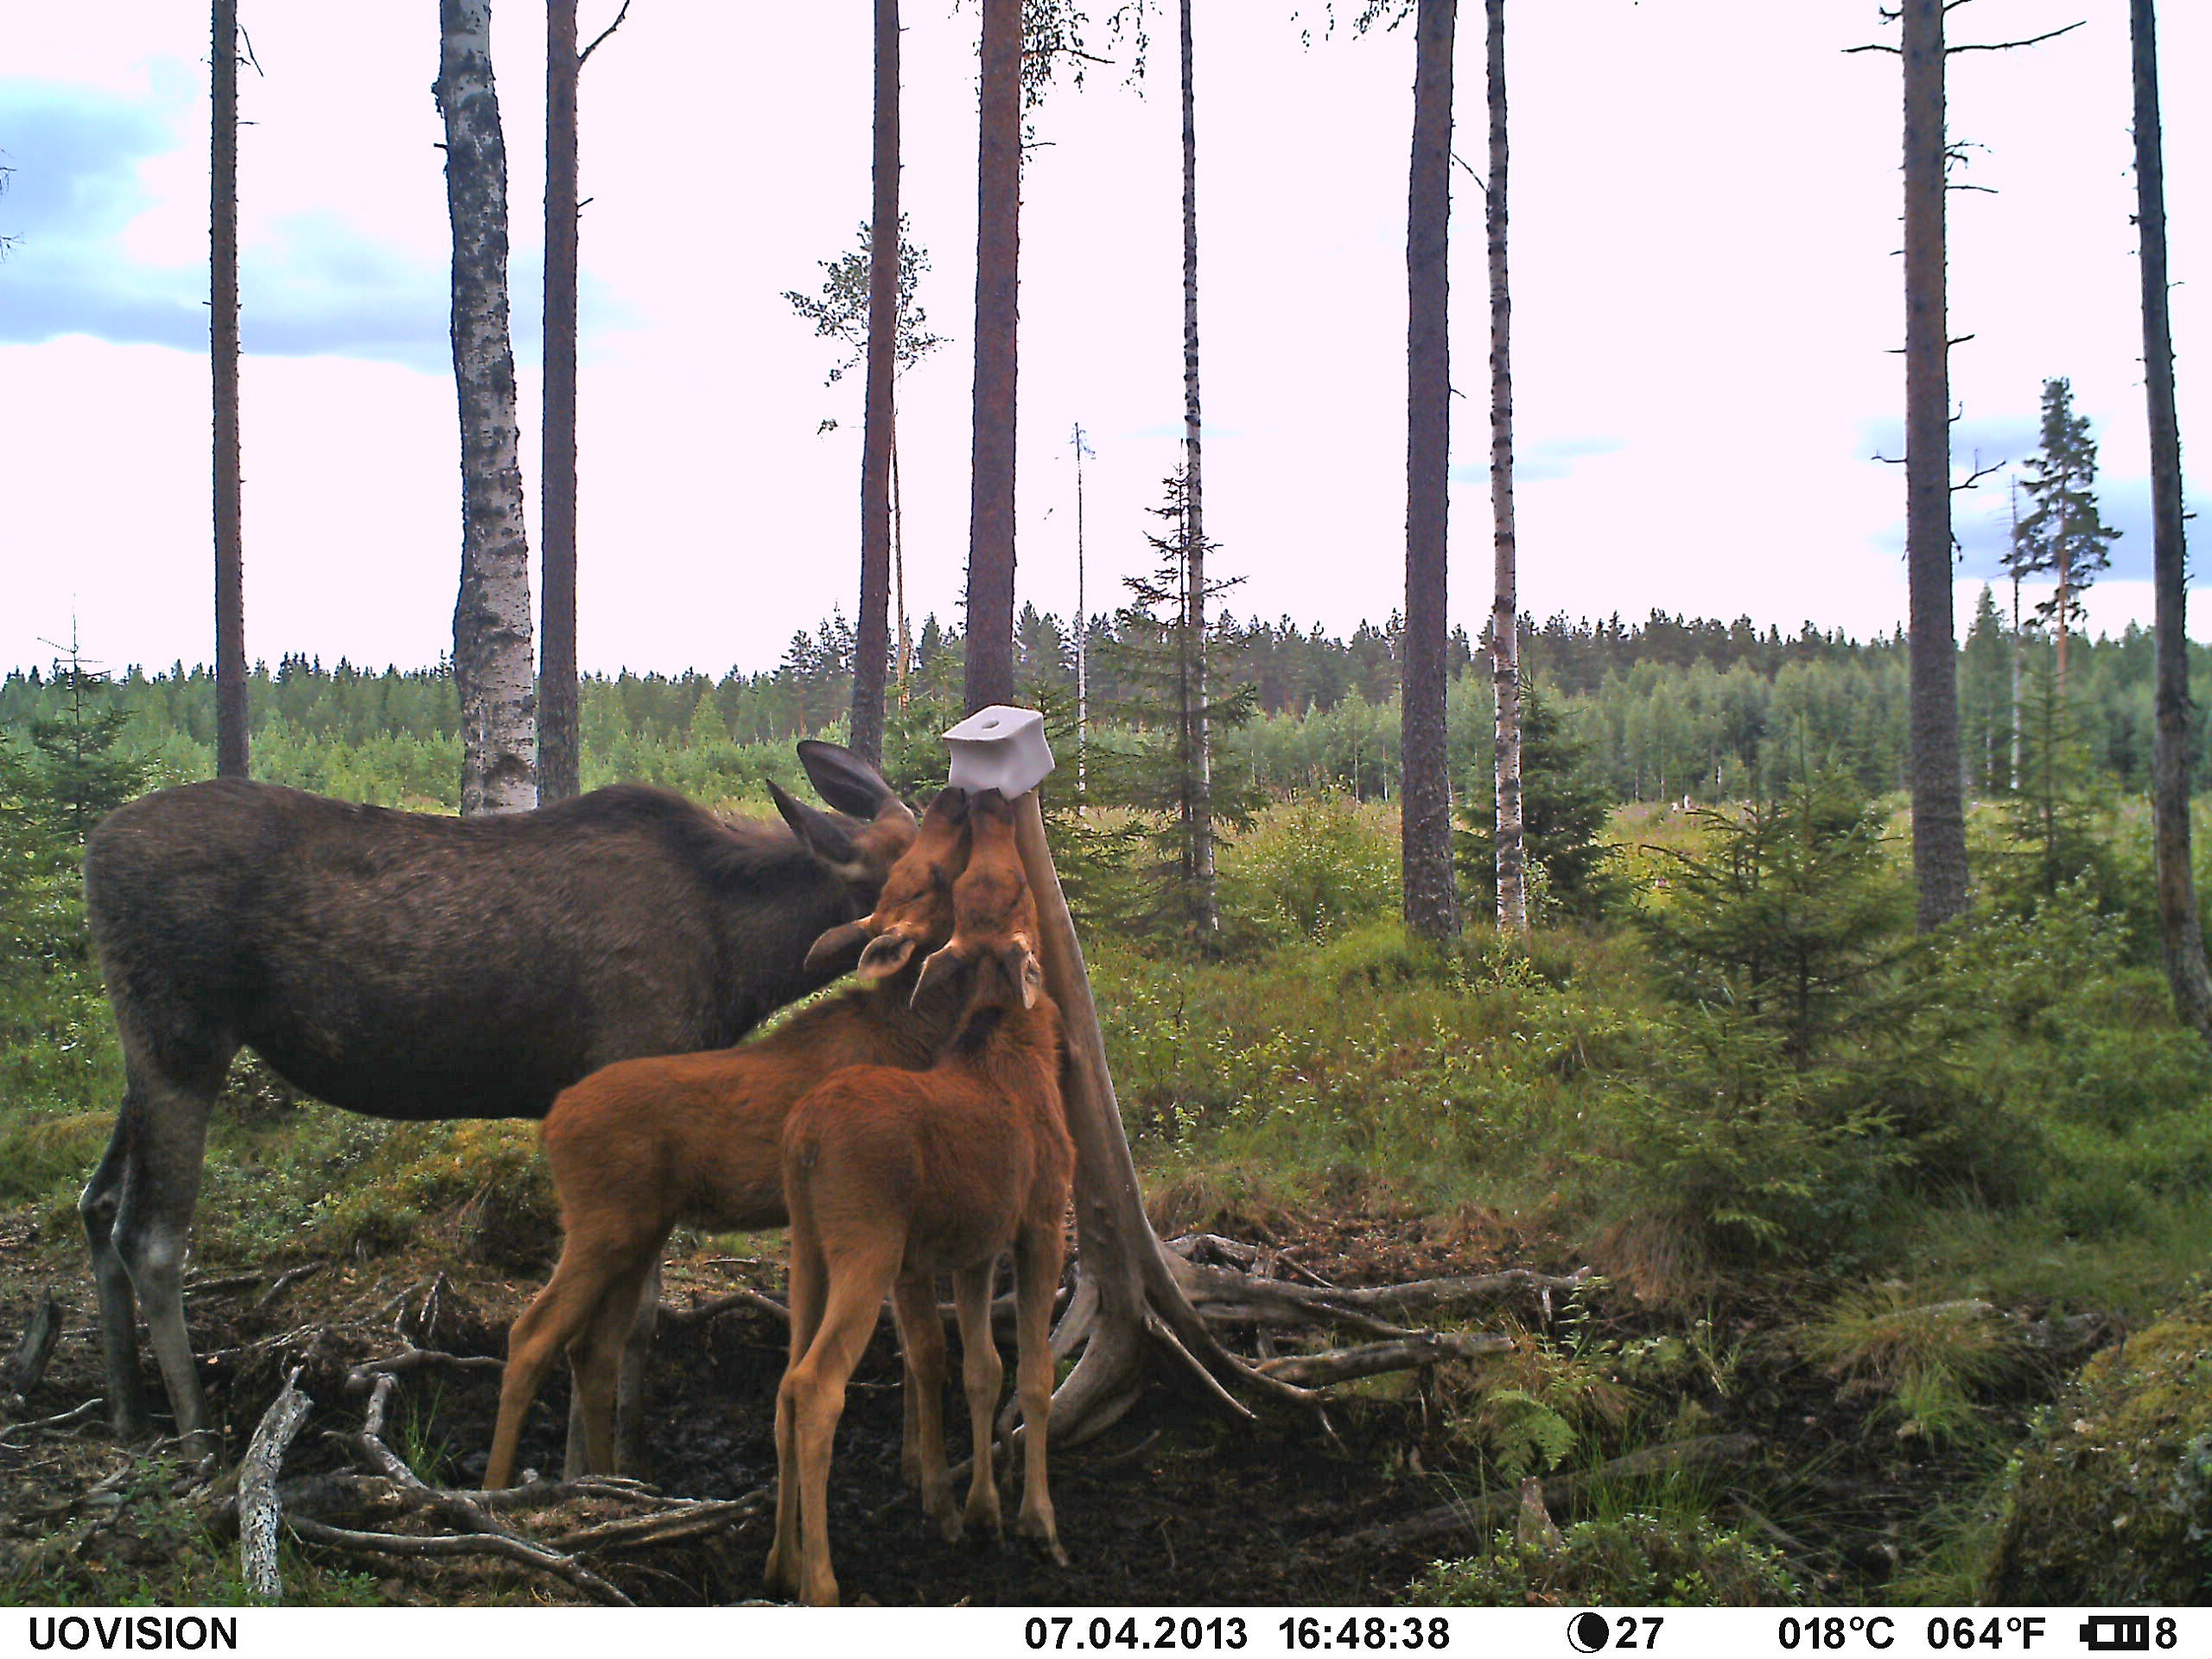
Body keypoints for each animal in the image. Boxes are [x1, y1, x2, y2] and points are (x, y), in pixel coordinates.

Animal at [79, 741, 913, 1452]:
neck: (742, 962)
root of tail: (93, 847)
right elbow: (610, 1320)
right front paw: (590, 1466)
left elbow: (640, 1315)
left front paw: (628, 1450)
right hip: (181, 1039)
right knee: (148, 1235)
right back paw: (194, 1437)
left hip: (143, 1050)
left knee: (97, 1200)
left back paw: (126, 1411)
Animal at [483, 786, 978, 1489]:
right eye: (928, 875)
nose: (955, 801)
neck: (916, 1030)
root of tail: (554, 1120)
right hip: (603, 1223)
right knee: (530, 1335)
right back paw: (500, 1488)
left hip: (638, 1226)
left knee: (592, 1349)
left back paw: (612, 1479)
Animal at [766, 787, 1073, 1608]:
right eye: (1010, 888)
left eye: (979, 885)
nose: (981, 799)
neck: (1018, 1037)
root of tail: (801, 1137)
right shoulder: (1040, 1221)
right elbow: (1033, 1378)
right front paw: (1037, 1522)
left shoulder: (971, 1248)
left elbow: (979, 1370)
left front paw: (979, 1511)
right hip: (866, 1246)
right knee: (815, 1385)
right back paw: (823, 1582)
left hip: (807, 1251)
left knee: (782, 1384)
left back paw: (780, 1559)